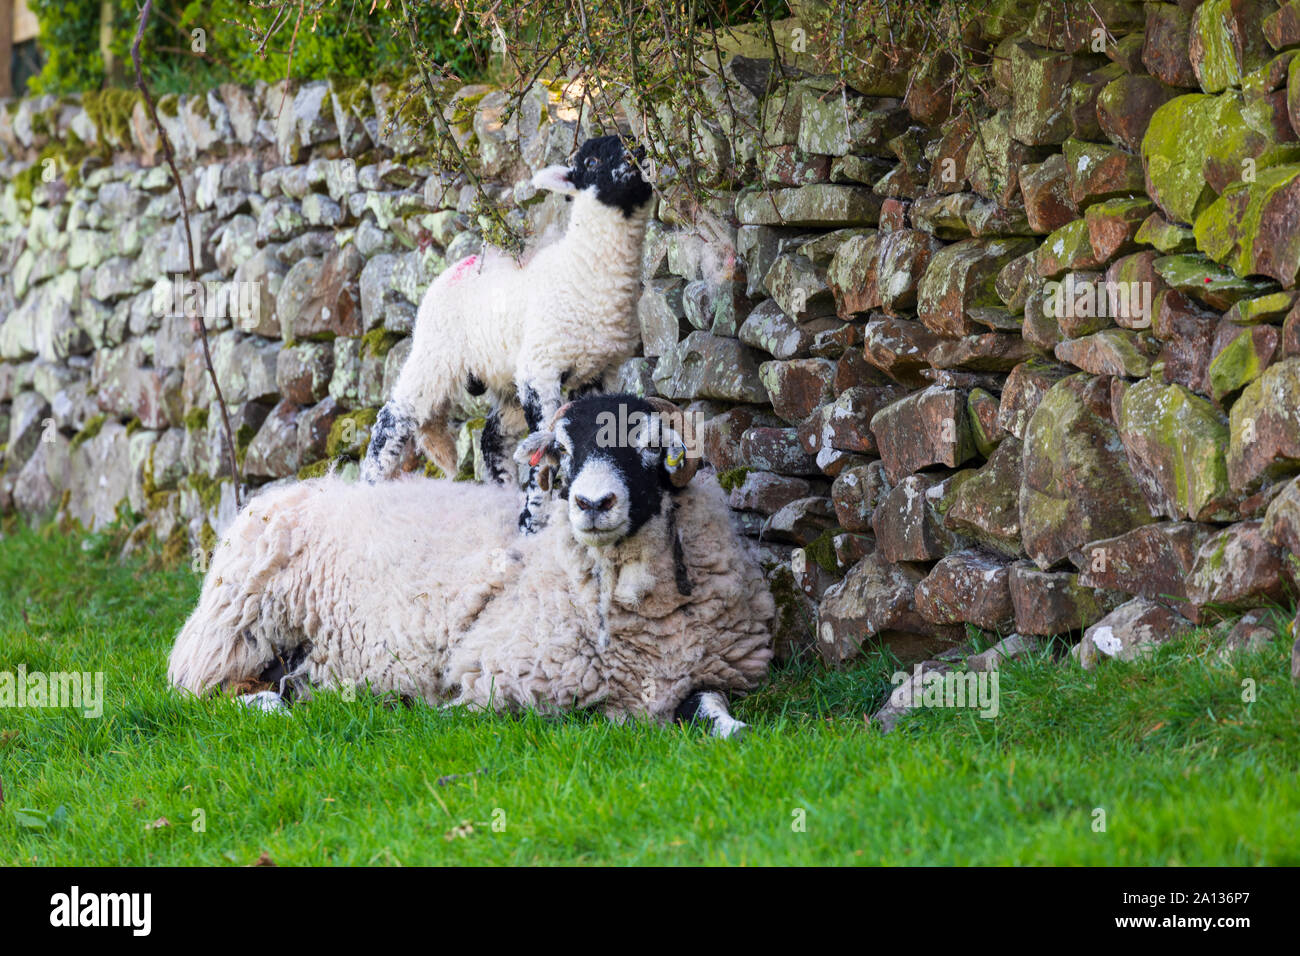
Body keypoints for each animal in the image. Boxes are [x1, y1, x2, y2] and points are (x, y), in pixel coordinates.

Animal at [168, 395, 774, 738]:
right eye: (563, 450)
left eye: (650, 445)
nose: (592, 503)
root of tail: (301, 487)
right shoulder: (503, 676)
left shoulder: (709, 671)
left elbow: (715, 709)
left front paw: (736, 729)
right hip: (236, 630)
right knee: (207, 691)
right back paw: (281, 706)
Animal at [361, 135, 654, 534]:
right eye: (591, 161)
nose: (636, 154)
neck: (582, 270)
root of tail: (458, 265)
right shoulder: (540, 368)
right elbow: (543, 451)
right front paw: (533, 523)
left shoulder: (599, 371)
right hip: (435, 354)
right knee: (394, 417)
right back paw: (368, 488)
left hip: (504, 379)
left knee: (491, 438)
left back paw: (501, 492)